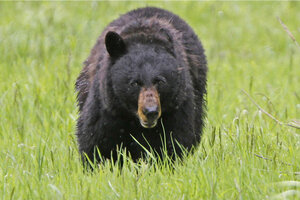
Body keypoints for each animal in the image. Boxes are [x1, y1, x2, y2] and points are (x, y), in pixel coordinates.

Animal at [75, 7, 207, 163]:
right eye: (134, 83)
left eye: (160, 81)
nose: (150, 111)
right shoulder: (107, 106)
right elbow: (96, 141)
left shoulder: (177, 106)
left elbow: (174, 142)